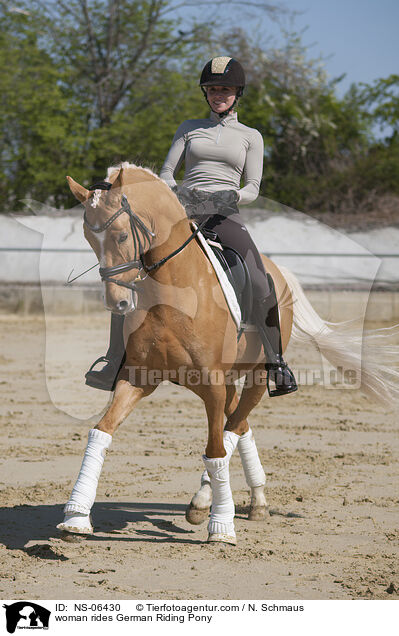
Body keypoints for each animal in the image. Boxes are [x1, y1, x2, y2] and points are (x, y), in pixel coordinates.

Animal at [56, 161, 399, 544]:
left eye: (120, 236)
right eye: (89, 239)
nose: (117, 302)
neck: (176, 290)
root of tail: (276, 268)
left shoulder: (213, 384)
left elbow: (216, 448)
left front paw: (221, 526)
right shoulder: (139, 379)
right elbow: (101, 432)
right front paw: (76, 517)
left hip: (256, 376)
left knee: (233, 427)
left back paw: (215, 501)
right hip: (224, 382)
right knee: (240, 424)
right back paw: (250, 500)